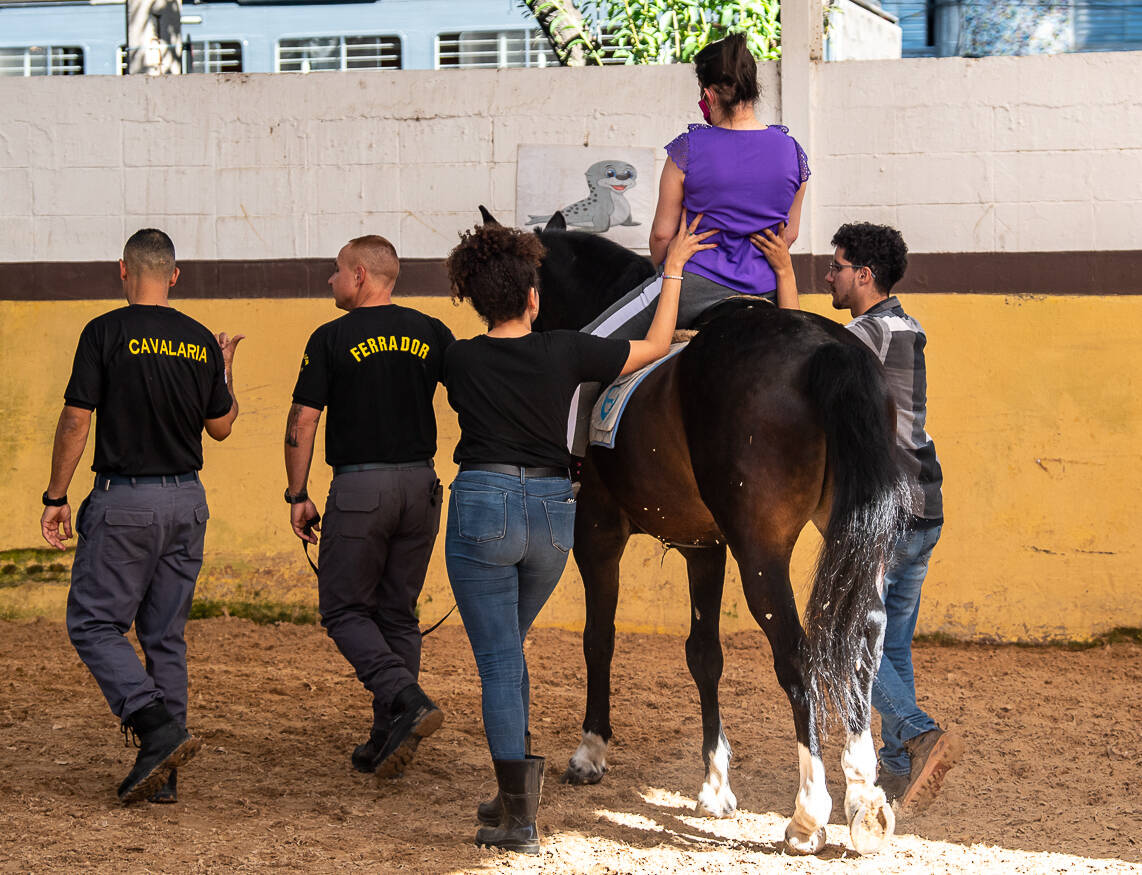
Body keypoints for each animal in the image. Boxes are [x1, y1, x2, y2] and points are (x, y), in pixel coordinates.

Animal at [477, 207, 904, 859]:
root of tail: (826, 349)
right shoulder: (704, 546)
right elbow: (704, 654)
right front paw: (714, 786)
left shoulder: (596, 532)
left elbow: (599, 637)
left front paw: (590, 750)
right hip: (850, 540)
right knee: (865, 639)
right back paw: (865, 800)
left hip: (761, 551)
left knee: (798, 653)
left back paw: (809, 814)